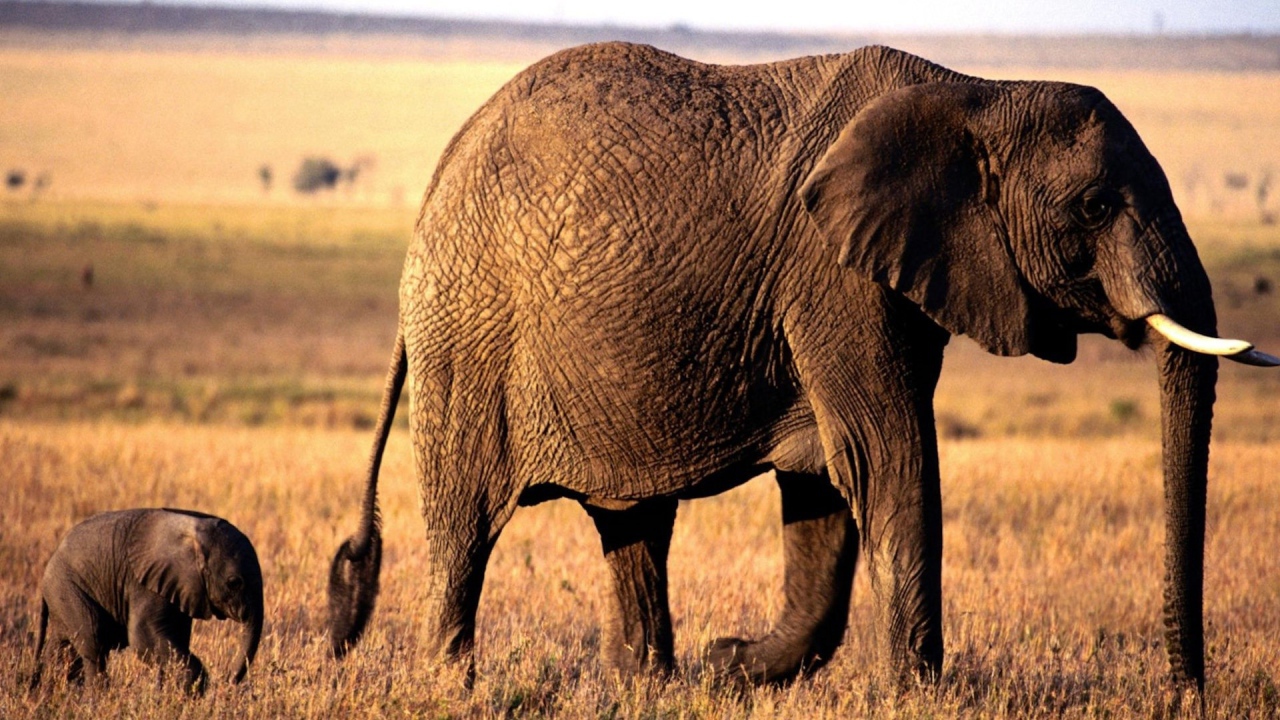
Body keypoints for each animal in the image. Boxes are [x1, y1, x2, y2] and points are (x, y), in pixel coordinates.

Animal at [33, 508, 264, 693]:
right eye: (234, 583)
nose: (227, 682)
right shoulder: (144, 583)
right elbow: (143, 638)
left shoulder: (178, 586)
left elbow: (174, 638)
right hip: (67, 586)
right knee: (93, 642)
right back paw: (94, 699)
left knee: (63, 648)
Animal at [327, 41, 1277, 690]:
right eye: (1094, 207)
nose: (1184, 690)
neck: (975, 91)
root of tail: (438, 176)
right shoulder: (833, 276)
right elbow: (885, 458)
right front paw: (916, 694)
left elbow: (825, 481)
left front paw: (732, 664)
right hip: (468, 339)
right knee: (465, 527)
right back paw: (453, 684)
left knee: (633, 525)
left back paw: (651, 682)